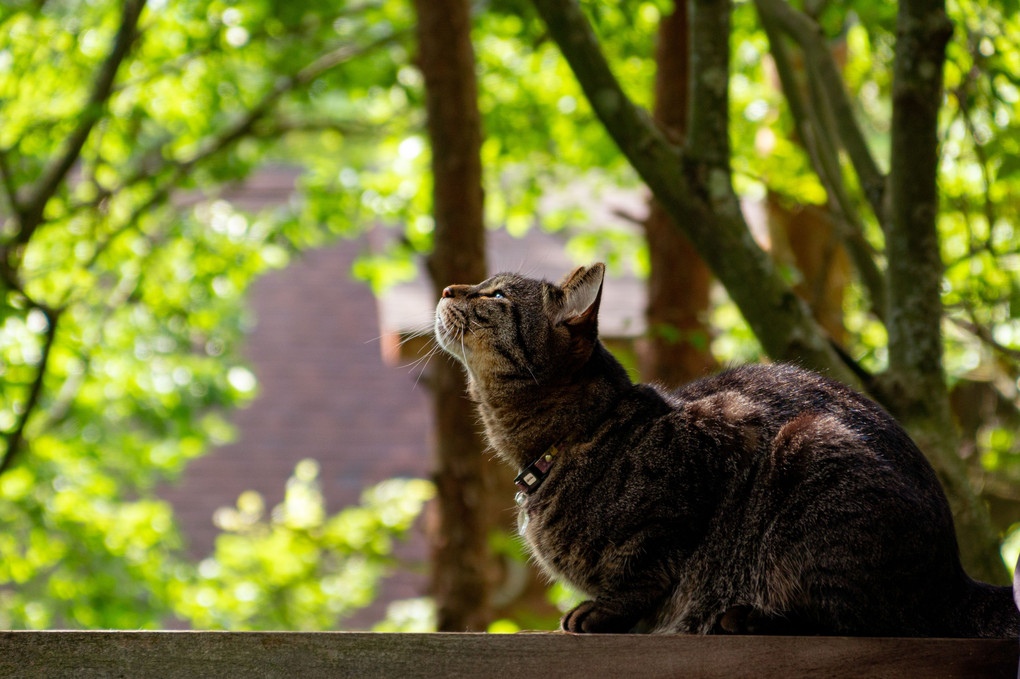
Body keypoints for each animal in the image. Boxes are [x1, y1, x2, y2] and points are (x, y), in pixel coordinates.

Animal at [436, 259, 1020, 636]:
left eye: (495, 296)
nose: (446, 290)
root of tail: (956, 578)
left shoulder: (720, 441)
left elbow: (649, 569)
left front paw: (601, 611)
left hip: (812, 446)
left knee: (868, 620)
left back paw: (750, 617)